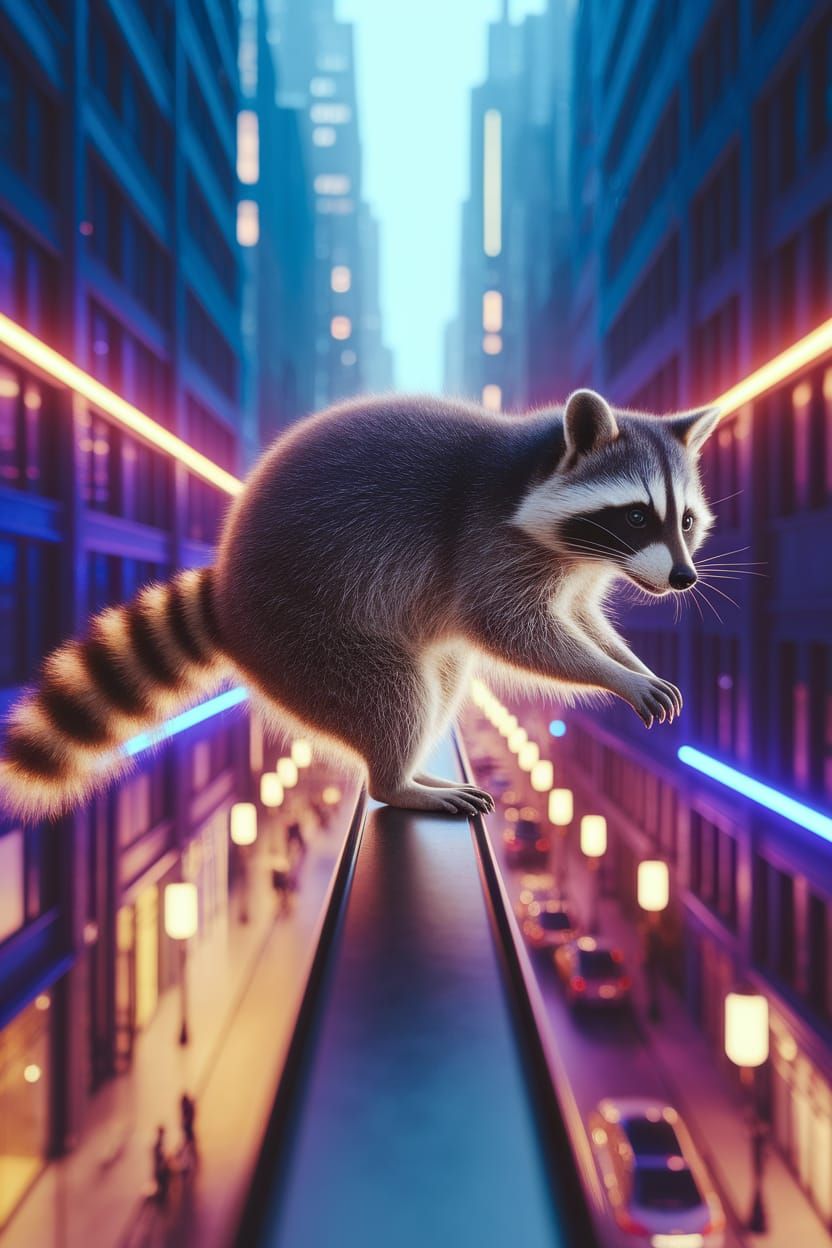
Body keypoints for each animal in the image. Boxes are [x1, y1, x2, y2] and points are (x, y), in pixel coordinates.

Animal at [0, 389, 719, 820]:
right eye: (636, 515)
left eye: (684, 520)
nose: (683, 580)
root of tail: (228, 592)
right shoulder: (484, 543)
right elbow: (513, 630)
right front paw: (614, 676)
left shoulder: (577, 571)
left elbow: (580, 619)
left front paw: (627, 660)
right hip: (303, 631)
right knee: (392, 691)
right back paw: (396, 781)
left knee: (441, 676)